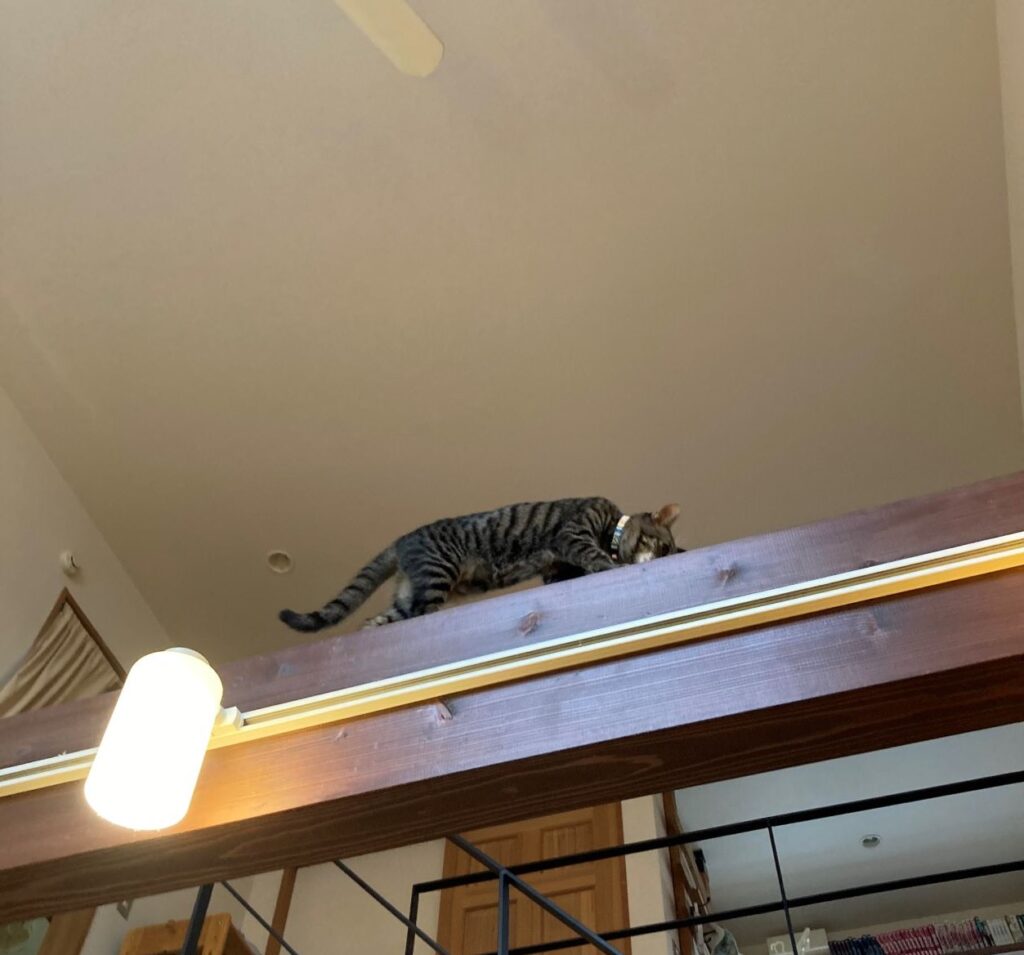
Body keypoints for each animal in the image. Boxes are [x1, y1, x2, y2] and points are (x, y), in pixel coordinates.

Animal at [279, 497, 681, 632]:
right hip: (438, 574)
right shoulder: (573, 534)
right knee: (422, 613)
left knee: (386, 618)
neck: (612, 526)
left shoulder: (556, 570)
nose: (661, 558)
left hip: (410, 593)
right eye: (661, 545)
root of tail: (402, 539)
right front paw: (615, 567)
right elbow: (595, 557)